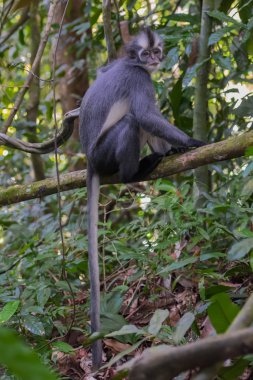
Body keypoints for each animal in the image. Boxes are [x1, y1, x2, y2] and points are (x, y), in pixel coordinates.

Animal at [79, 27, 206, 368]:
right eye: (145, 54)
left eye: (156, 51)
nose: (154, 59)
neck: (133, 63)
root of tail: (89, 159)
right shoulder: (139, 78)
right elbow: (147, 115)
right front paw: (193, 142)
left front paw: (178, 147)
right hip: (105, 154)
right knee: (132, 122)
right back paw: (134, 172)